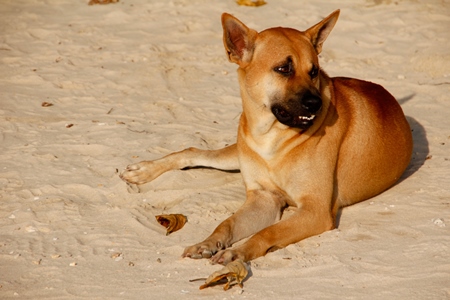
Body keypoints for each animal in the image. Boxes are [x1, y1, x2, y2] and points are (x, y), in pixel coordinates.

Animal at [119, 10, 412, 264]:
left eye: (314, 71)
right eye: (283, 69)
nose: (316, 104)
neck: (271, 135)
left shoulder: (314, 210)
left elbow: (268, 232)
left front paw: (240, 251)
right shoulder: (264, 198)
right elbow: (227, 223)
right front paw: (208, 242)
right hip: (234, 154)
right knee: (193, 152)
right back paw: (143, 170)